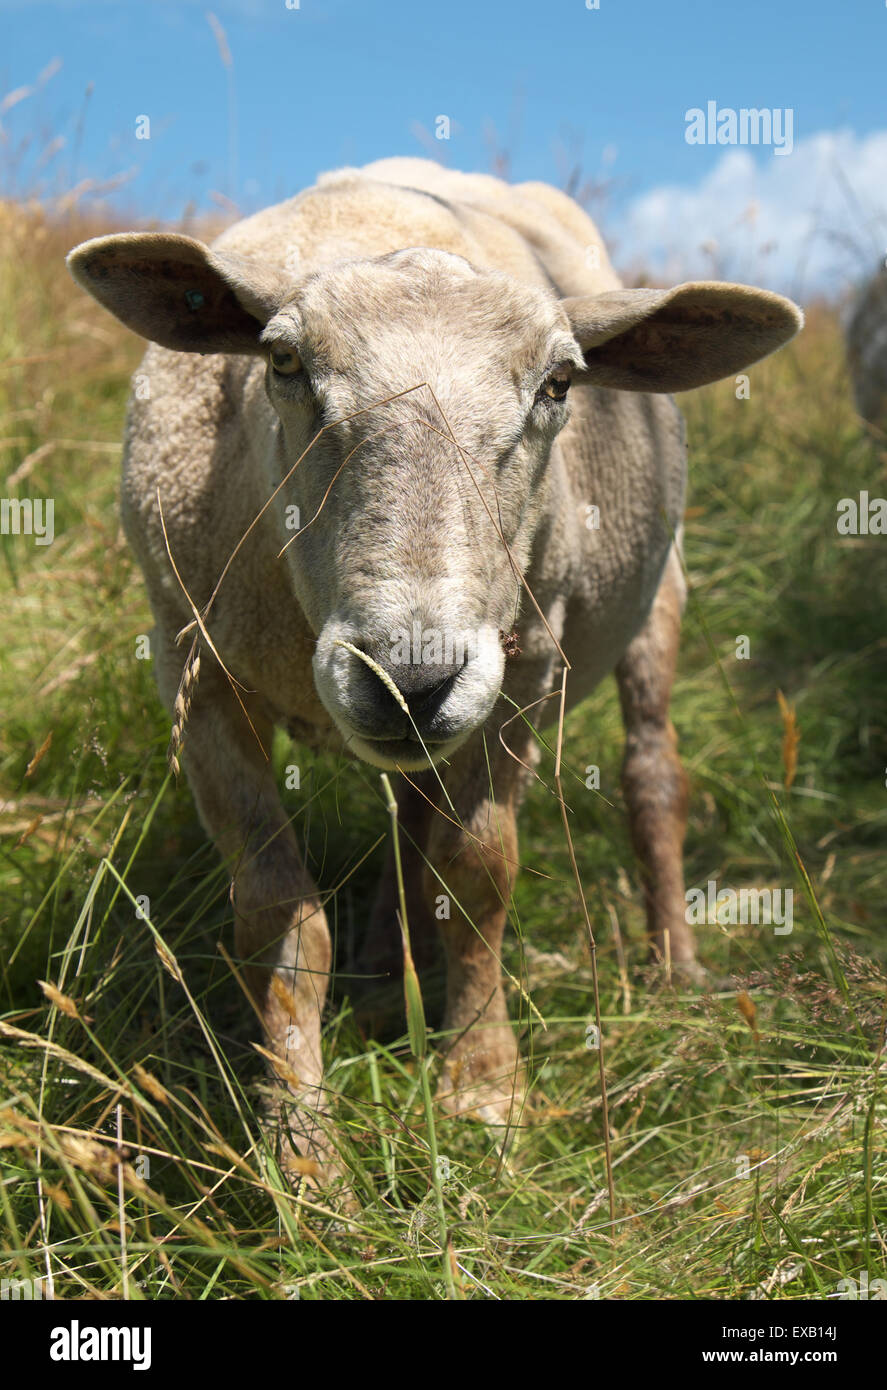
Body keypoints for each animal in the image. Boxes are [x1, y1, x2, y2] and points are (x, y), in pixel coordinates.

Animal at [67, 159, 806, 1184]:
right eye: (283, 363)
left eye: (558, 384)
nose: (410, 676)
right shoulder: (193, 667)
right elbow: (278, 913)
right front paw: (302, 1150)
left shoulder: (522, 669)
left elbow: (480, 876)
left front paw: (484, 1089)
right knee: (409, 814)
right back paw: (387, 964)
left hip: (655, 592)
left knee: (652, 772)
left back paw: (674, 966)